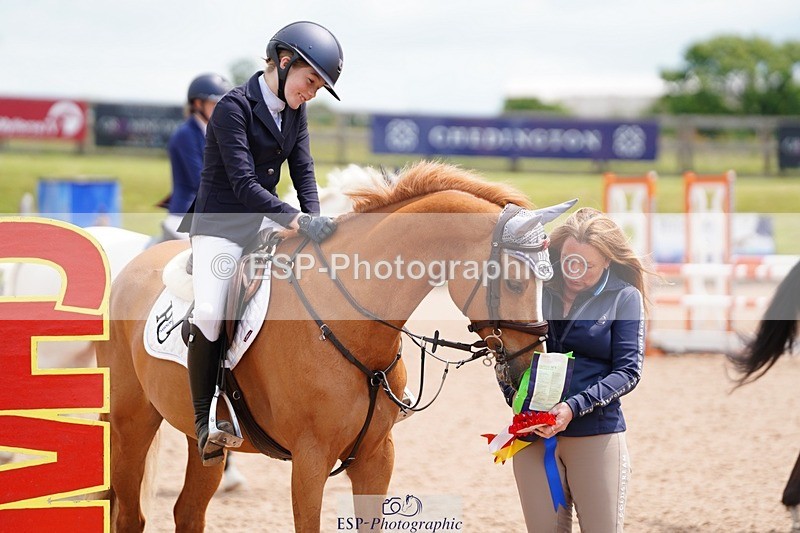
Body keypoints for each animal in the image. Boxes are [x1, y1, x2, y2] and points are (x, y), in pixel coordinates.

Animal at [95, 161, 570, 532]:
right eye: (515, 282)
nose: (530, 370)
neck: (350, 319)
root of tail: (132, 264)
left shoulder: (377, 457)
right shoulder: (310, 461)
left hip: (206, 445)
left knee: (188, 512)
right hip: (131, 422)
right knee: (130, 515)